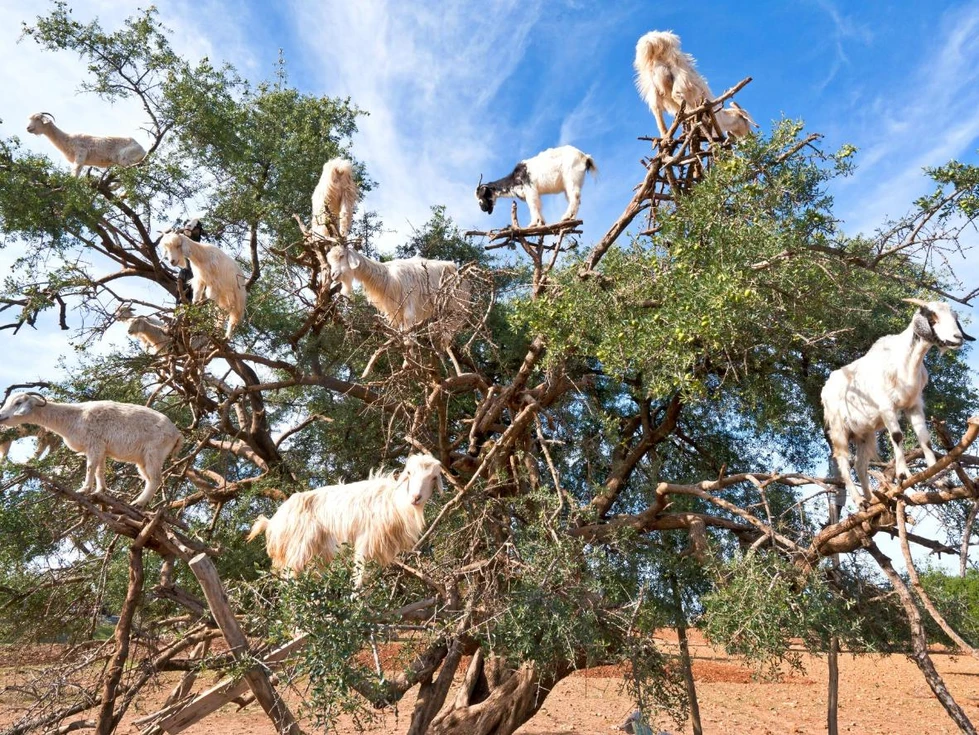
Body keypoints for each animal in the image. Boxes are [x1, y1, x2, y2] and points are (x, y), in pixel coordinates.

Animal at [0, 393, 182, 507]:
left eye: (18, 403)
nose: (1, 416)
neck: (73, 418)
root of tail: (177, 434)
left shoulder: (94, 444)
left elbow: (90, 468)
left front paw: (83, 490)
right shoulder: (101, 449)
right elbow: (99, 471)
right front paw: (100, 491)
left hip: (154, 453)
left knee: (156, 479)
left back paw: (138, 503)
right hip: (142, 459)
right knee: (149, 479)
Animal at [247, 454, 443, 586]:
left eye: (434, 477)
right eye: (409, 473)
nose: (416, 497)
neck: (394, 501)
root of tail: (272, 522)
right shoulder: (365, 542)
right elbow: (359, 578)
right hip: (297, 552)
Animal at [821, 299, 974, 509]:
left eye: (954, 317)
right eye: (932, 317)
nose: (957, 338)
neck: (906, 363)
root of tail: (825, 390)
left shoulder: (914, 405)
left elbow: (925, 439)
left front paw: (942, 480)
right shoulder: (887, 407)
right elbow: (897, 436)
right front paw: (903, 475)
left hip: (864, 434)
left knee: (860, 464)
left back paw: (873, 499)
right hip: (838, 429)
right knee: (843, 461)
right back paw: (860, 500)